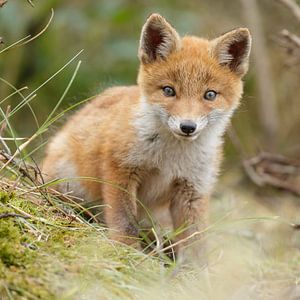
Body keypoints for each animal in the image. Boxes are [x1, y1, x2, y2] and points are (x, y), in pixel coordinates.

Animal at [42, 13, 251, 262]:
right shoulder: (119, 169)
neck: (171, 158)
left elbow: (194, 239)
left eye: (210, 95)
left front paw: (194, 270)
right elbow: (124, 221)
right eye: (169, 90)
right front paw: (127, 252)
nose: (187, 127)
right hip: (68, 182)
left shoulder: (193, 188)